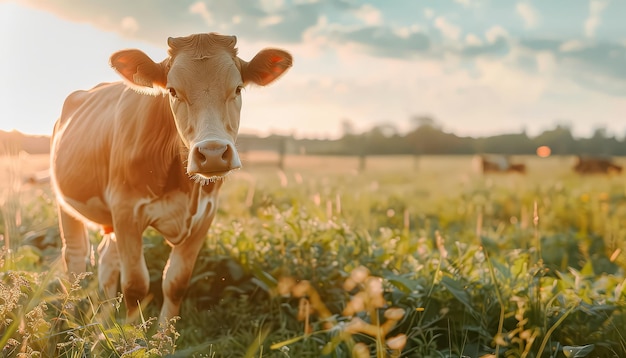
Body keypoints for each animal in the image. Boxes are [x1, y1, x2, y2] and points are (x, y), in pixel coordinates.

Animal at [50, 32, 292, 322]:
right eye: (173, 91)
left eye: (238, 89)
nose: (212, 153)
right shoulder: (126, 210)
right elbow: (135, 286)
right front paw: (133, 333)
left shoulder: (205, 216)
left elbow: (176, 283)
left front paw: (165, 331)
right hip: (65, 203)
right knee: (75, 258)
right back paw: (70, 319)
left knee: (107, 259)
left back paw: (103, 321)